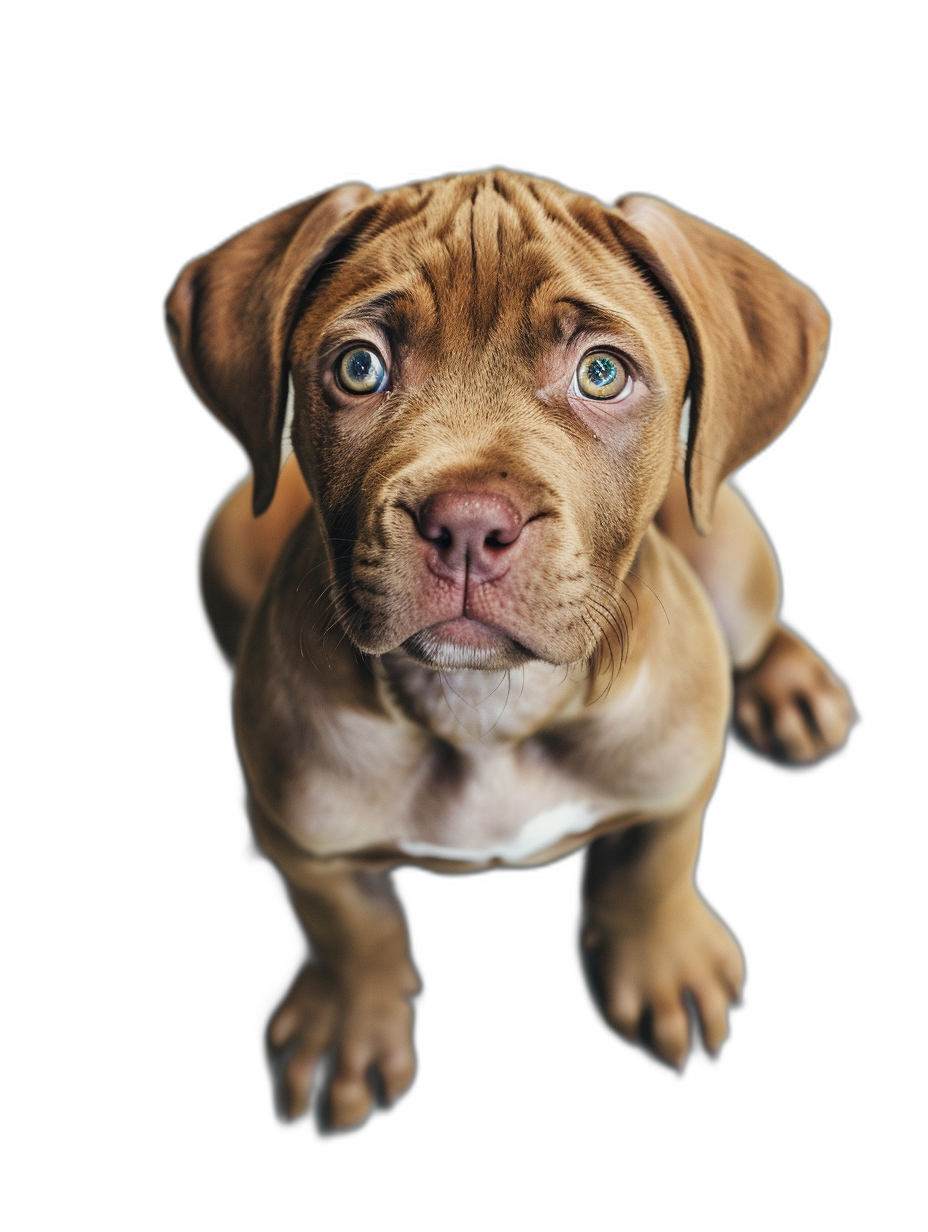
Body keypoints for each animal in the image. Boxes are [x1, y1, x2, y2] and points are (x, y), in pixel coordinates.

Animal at [165, 171, 852, 1133]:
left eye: (601, 372)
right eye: (359, 367)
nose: (467, 524)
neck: (489, 711)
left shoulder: (676, 779)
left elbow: (652, 868)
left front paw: (664, 967)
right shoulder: (308, 841)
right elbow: (350, 927)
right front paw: (348, 1029)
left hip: (729, 558)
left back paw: (790, 689)